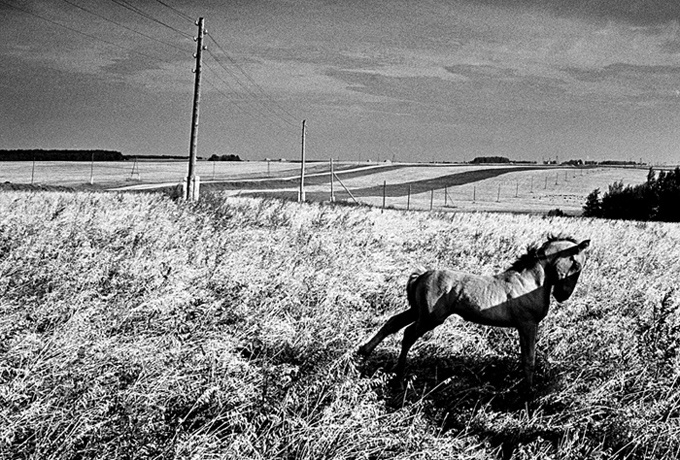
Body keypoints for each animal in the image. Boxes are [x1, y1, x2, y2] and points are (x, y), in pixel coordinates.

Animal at [358, 235, 591, 388]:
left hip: (417, 311)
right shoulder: (528, 324)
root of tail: (421, 275)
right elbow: (529, 360)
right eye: (575, 263)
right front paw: (527, 394)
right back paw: (398, 374)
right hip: (430, 317)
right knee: (407, 334)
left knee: (393, 323)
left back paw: (364, 352)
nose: (563, 295)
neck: (529, 282)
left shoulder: (525, 327)